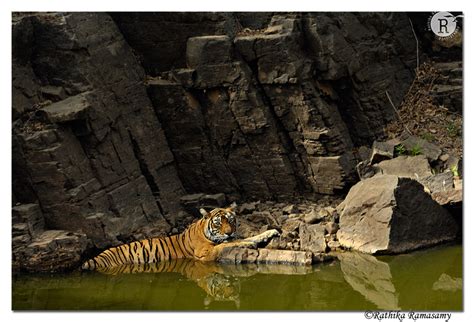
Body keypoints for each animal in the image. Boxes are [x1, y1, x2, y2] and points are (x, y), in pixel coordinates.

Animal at [82, 204, 280, 270]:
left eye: (231, 220)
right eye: (218, 223)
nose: (229, 231)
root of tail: (94, 259)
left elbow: (245, 237)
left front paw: (270, 232)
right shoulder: (204, 253)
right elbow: (231, 243)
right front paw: (250, 244)